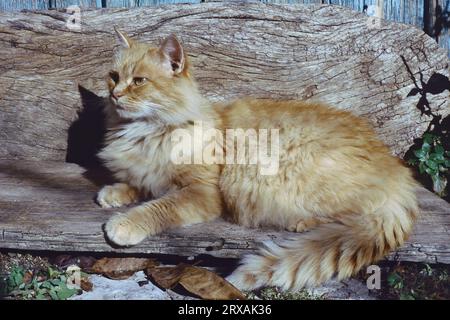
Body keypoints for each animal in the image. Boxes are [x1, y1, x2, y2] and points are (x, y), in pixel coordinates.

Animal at [96, 29, 420, 290]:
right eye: (114, 76)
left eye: (139, 81)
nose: (115, 94)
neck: (143, 133)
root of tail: (398, 172)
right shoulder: (148, 176)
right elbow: (137, 186)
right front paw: (113, 193)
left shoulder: (202, 191)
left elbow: (158, 207)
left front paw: (124, 224)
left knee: (350, 217)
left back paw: (302, 223)